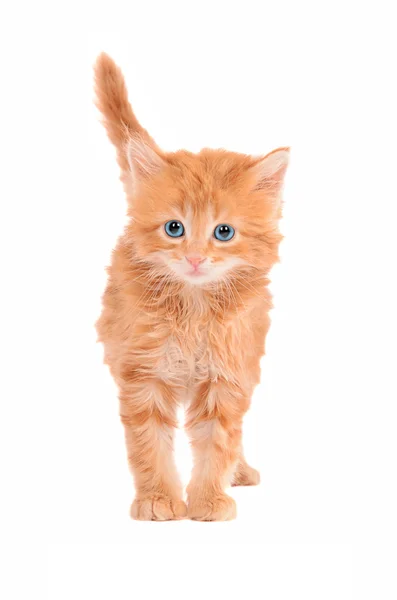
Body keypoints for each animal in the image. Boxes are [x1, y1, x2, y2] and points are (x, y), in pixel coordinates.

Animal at [94, 52, 290, 520]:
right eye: (174, 228)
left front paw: (208, 500)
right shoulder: (143, 372)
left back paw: (240, 470)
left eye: (223, 232)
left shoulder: (227, 374)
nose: (196, 258)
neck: (193, 308)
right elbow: (149, 443)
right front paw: (158, 498)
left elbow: (219, 440)